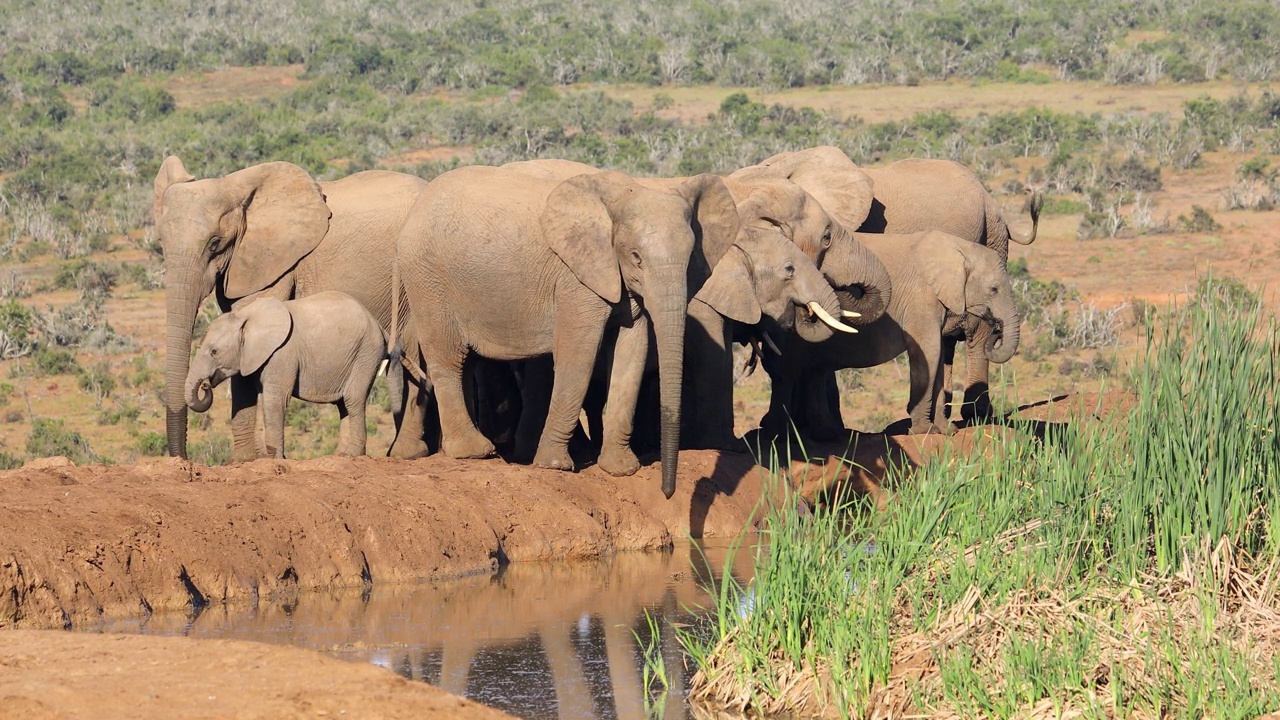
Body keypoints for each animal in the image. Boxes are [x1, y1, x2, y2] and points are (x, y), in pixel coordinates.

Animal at [186, 289, 399, 453]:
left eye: (214, 352)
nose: (205, 386)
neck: (246, 317)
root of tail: (379, 326)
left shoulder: (281, 354)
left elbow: (275, 400)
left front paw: (276, 460)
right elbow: (265, 399)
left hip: (366, 353)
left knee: (353, 400)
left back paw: (352, 456)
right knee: (343, 404)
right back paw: (341, 456)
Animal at [394, 165, 747, 497]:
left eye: (691, 259)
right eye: (636, 258)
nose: (668, 492)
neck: (621, 197)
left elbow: (632, 351)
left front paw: (620, 469)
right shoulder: (576, 278)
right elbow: (579, 352)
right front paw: (555, 465)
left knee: (464, 362)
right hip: (427, 279)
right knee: (449, 358)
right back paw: (474, 452)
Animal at [757, 229, 1018, 435]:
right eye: (994, 289)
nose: (996, 329)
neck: (958, 248)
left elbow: (938, 357)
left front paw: (947, 431)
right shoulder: (920, 299)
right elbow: (929, 352)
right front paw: (924, 431)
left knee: (813, 372)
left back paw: (826, 435)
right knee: (786, 373)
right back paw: (777, 435)